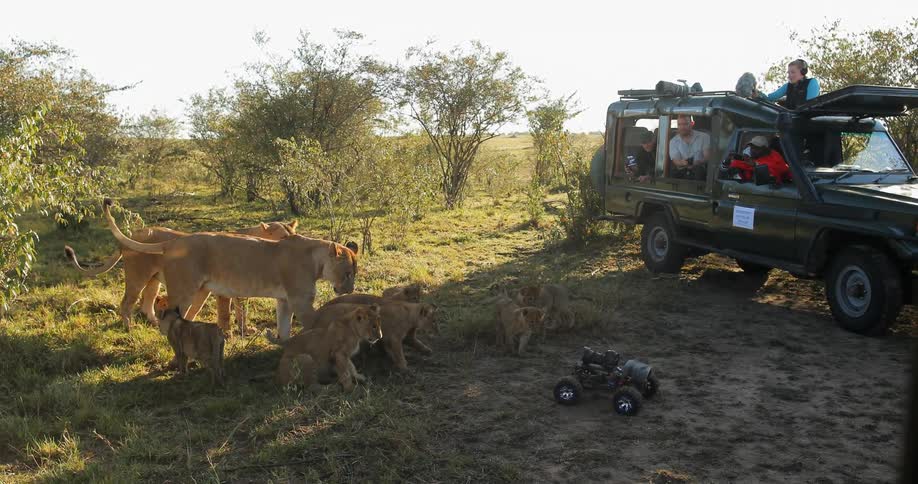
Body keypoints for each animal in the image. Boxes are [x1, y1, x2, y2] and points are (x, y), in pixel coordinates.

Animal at [65, 219, 297, 331]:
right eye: (284, 236)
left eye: (293, 233)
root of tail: (132, 235)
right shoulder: (219, 290)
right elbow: (222, 313)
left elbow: (242, 312)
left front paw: (245, 330)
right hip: (137, 276)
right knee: (127, 303)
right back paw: (129, 329)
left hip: (154, 281)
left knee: (147, 303)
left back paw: (155, 324)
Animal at [102, 198, 357, 341]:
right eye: (348, 273)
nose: (350, 289)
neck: (316, 258)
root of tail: (173, 243)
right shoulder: (300, 301)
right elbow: (316, 321)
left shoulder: (284, 300)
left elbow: (281, 327)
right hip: (170, 286)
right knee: (137, 307)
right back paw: (135, 330)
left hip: (187, 290)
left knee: (165, 310)